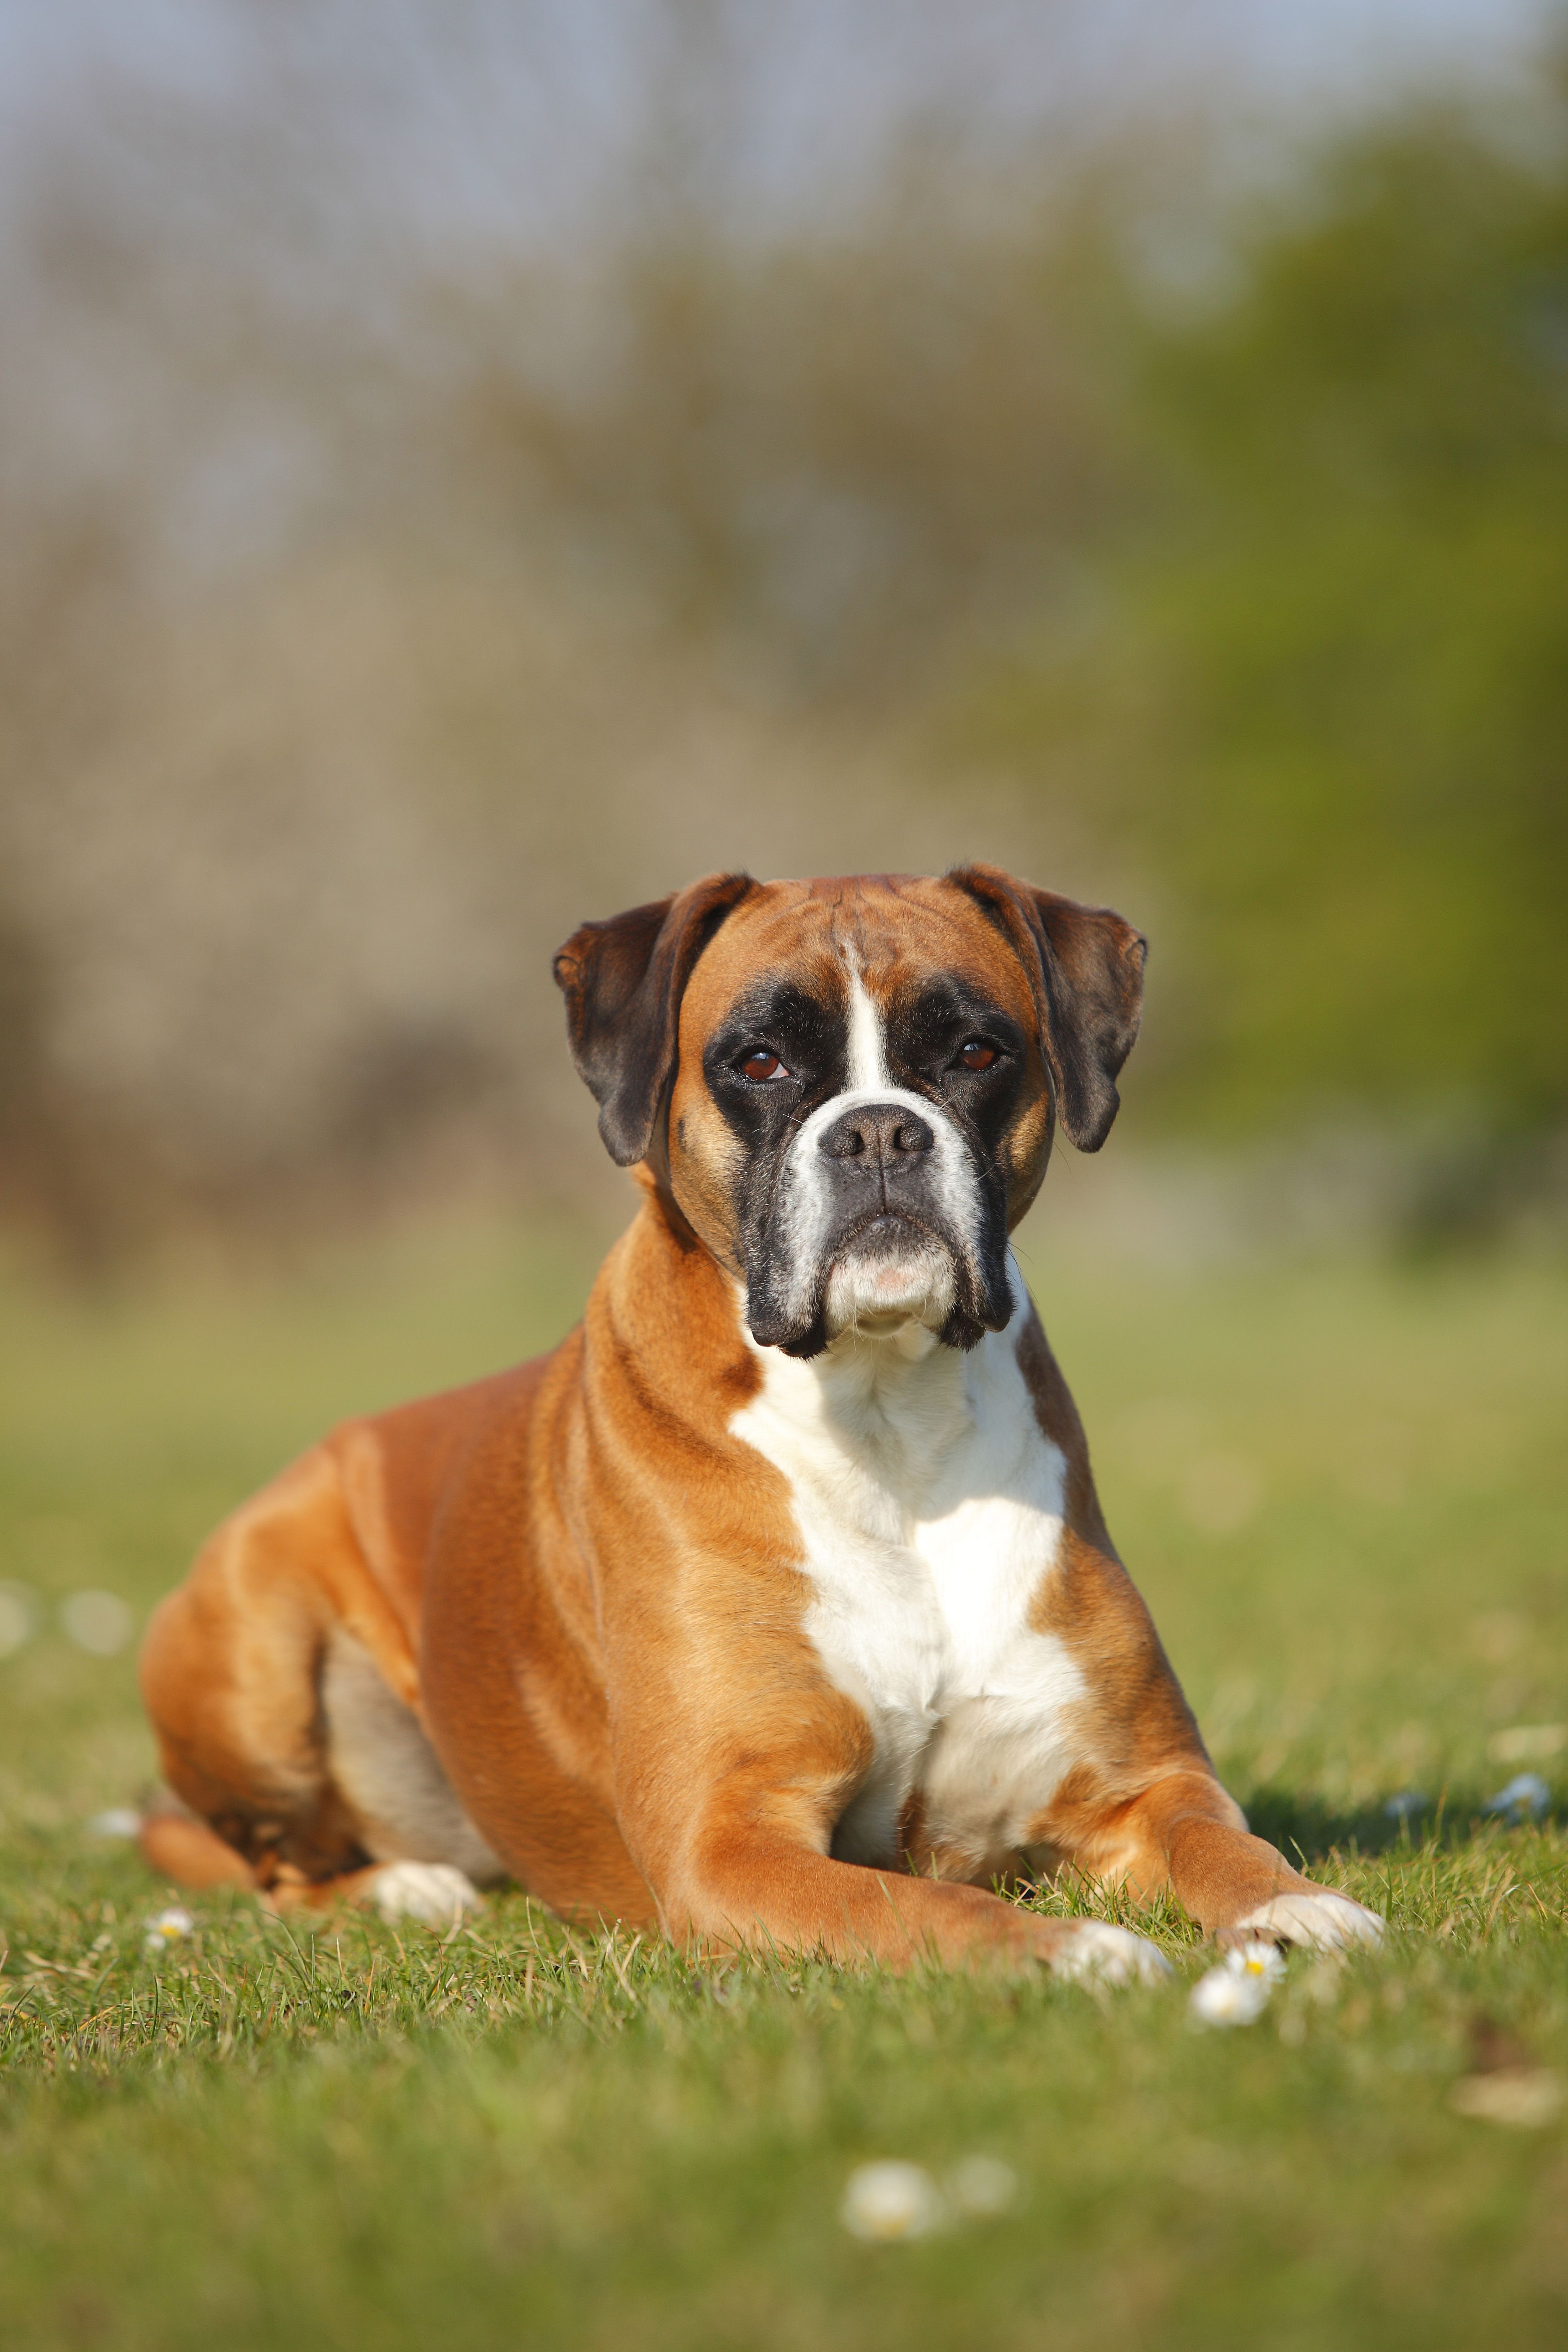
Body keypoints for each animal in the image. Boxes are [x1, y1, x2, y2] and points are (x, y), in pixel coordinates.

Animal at [138, 875, 1382, 1975]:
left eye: (975, 1053)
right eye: (761, 1062)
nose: (879, 1132)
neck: (886, 1427)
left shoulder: (1142, 1782)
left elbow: (1215, 1838)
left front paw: (1299, 1908)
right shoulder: (727, 1841)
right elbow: (917, 1907)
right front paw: (1073, 1950)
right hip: (254, 1634)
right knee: (277, 1871)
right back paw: (403, 1888)